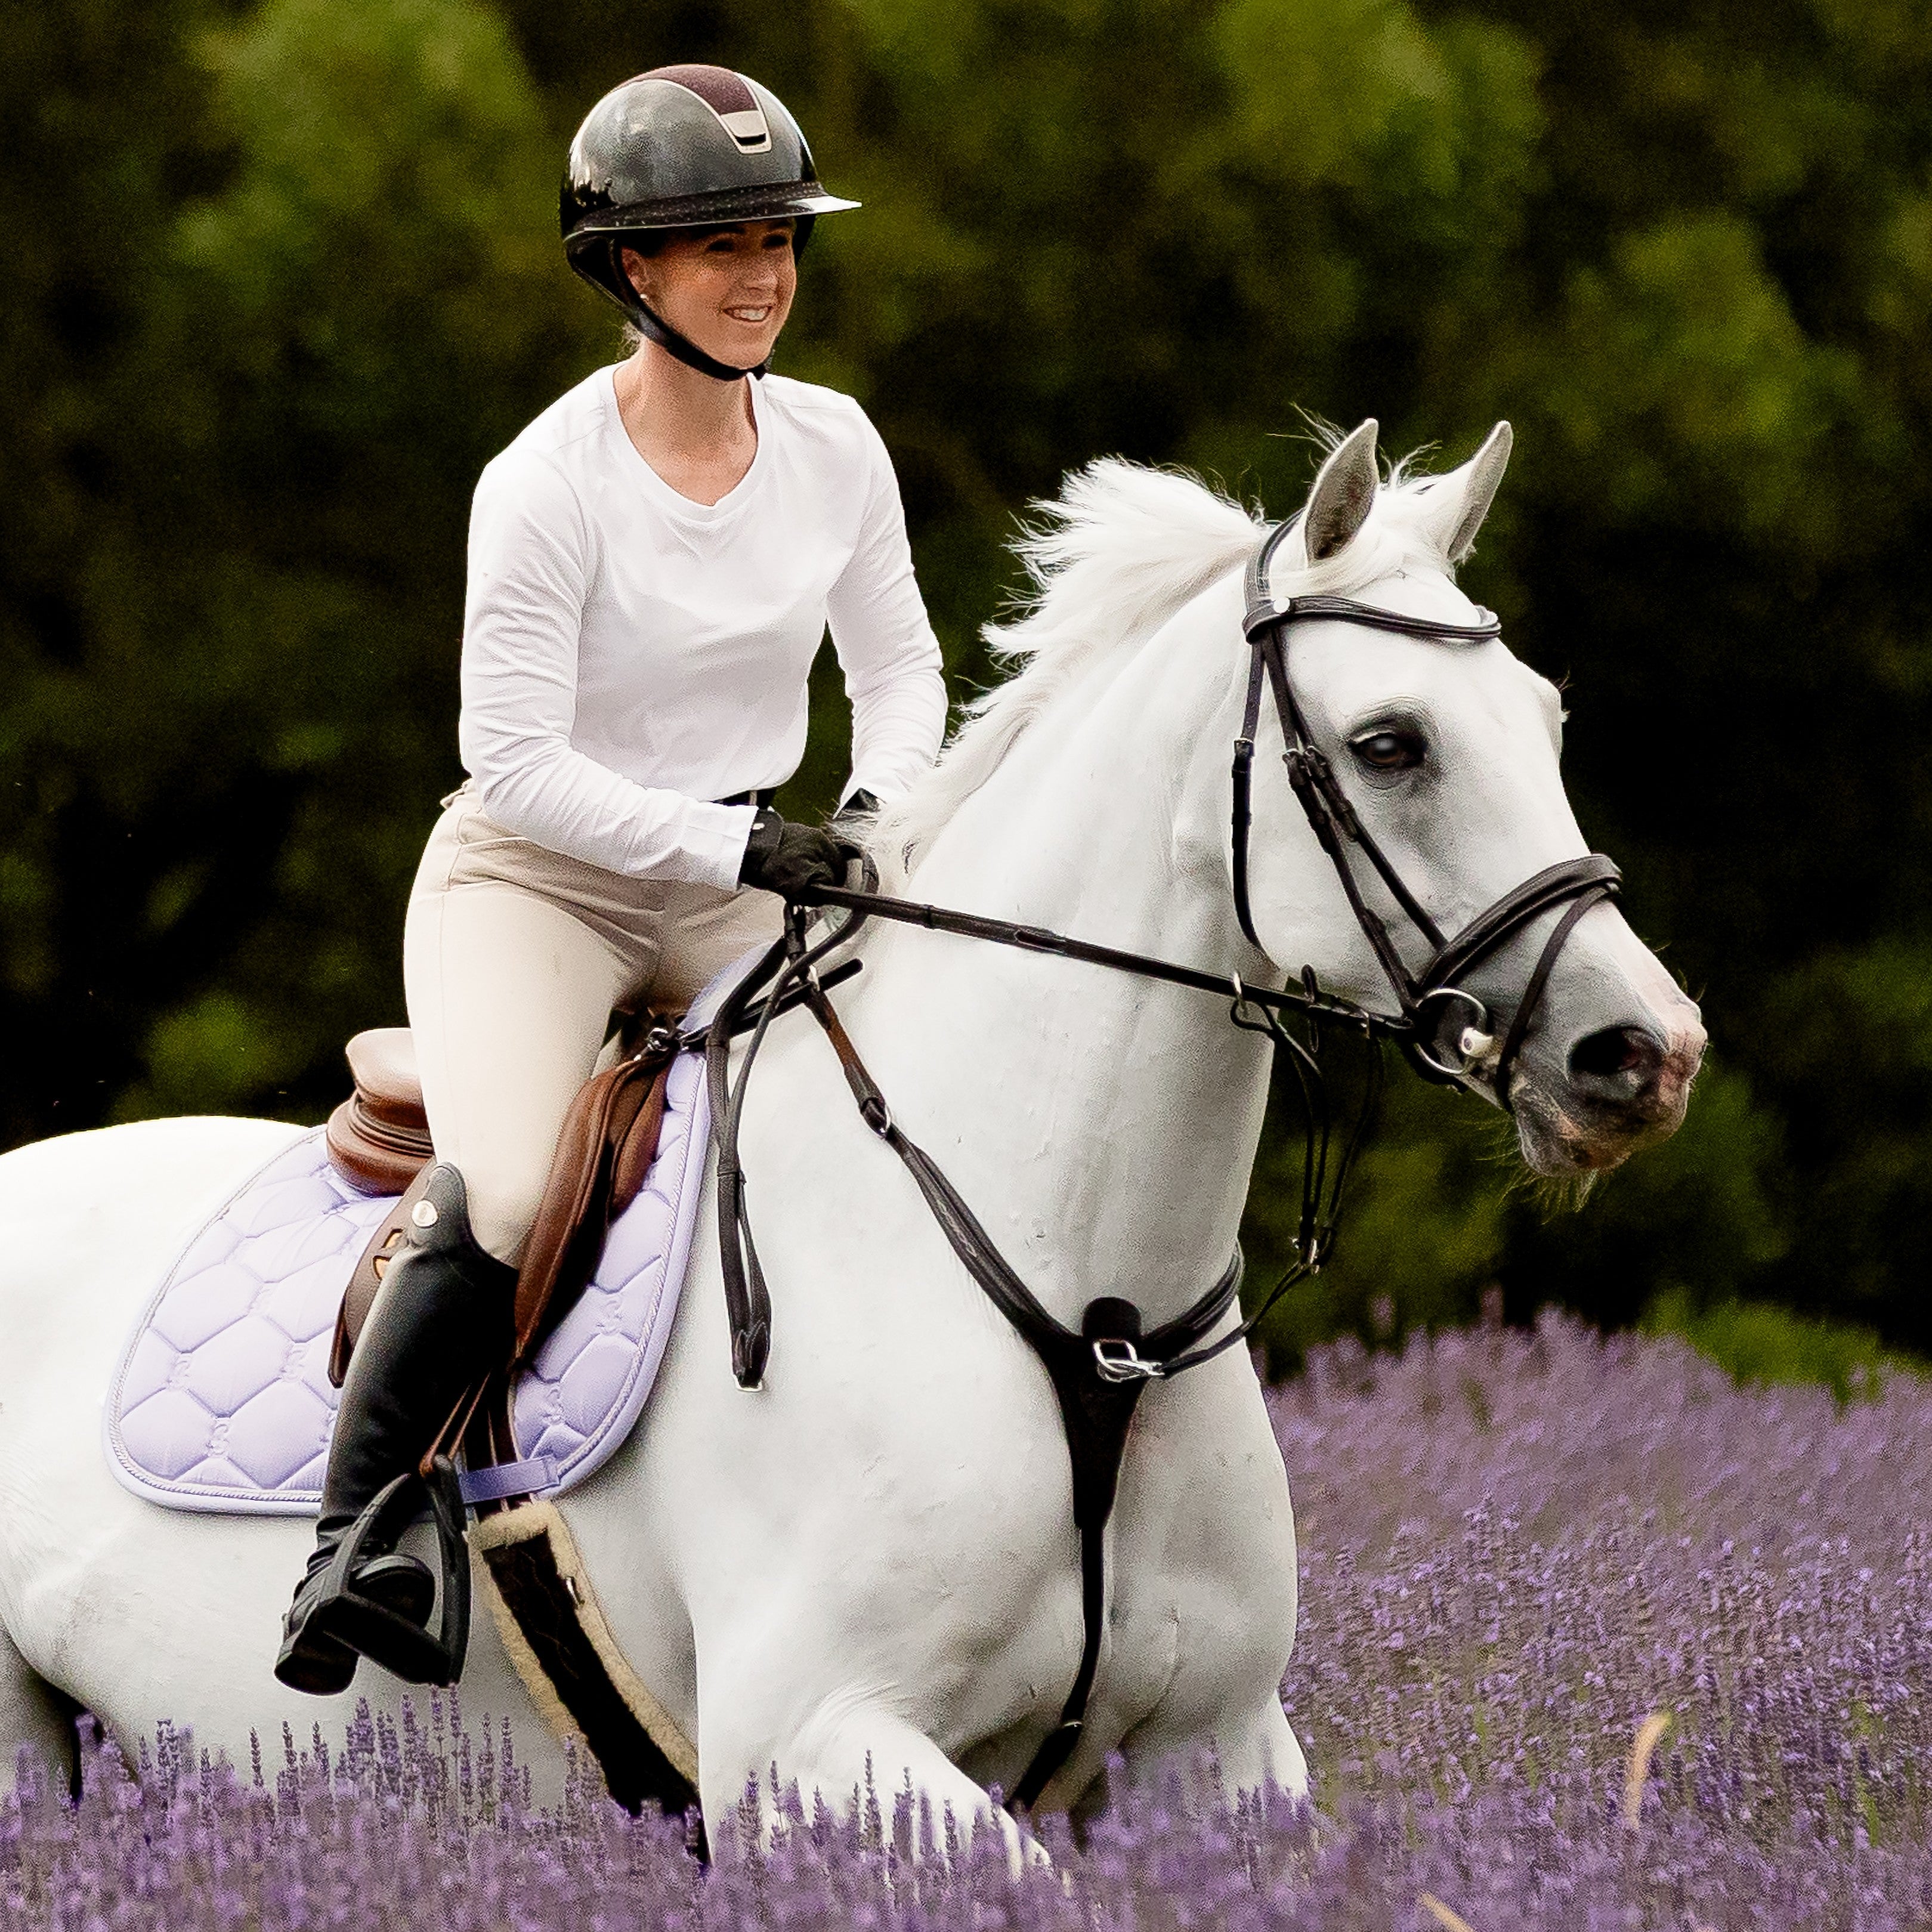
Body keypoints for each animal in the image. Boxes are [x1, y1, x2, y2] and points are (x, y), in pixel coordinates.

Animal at [0, 420, 1704, 1850]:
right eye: (1389, 742)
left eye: (1542, 716)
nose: (1640, 1052)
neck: (1084, 1303)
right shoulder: (815, 1745)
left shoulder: (1219, 1747)